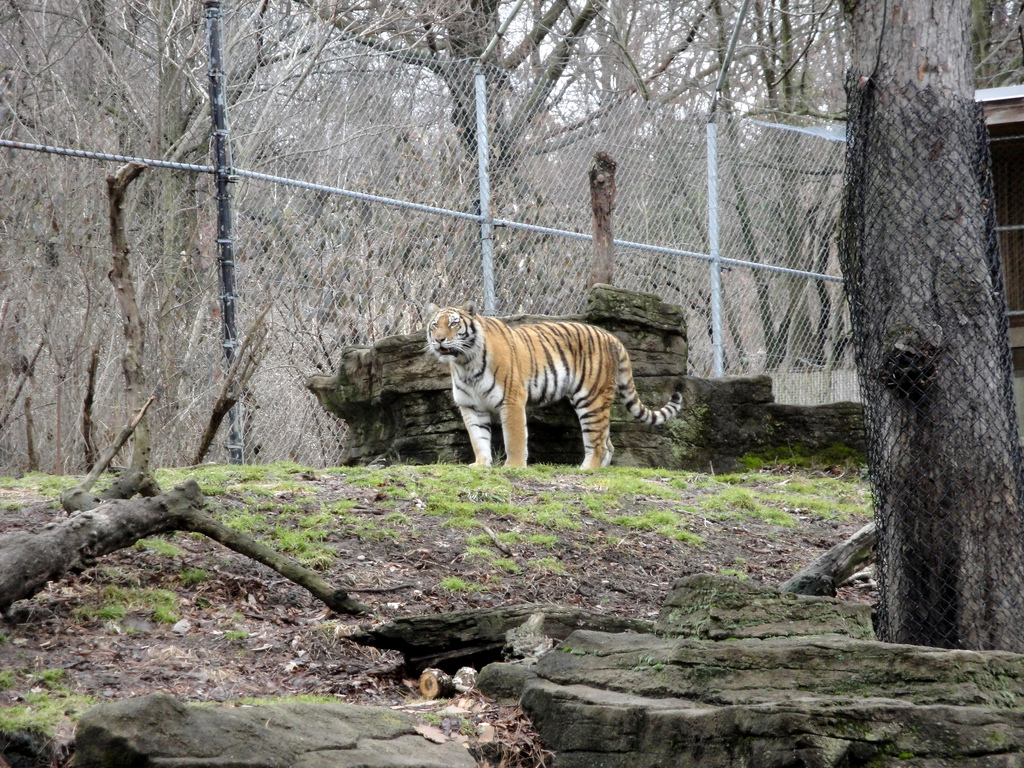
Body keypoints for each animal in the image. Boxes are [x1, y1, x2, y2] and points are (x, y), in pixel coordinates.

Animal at [425, 302, 683, 469]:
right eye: (435, 325)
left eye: (453, 324)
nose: (438, 340)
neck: (464, 363)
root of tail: (613, 337)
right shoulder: (471, 406)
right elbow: (478, 438)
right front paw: (480, 465)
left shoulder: (512, 400)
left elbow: (514, 438)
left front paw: (513, 467)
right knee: (606, 442)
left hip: (591, 399)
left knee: (597, 442)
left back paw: (587, 470)